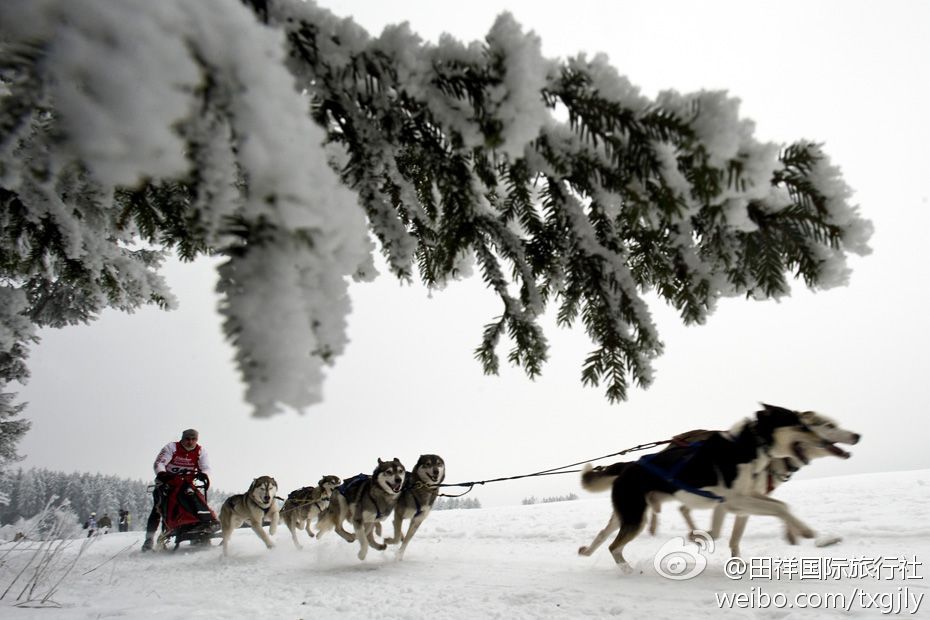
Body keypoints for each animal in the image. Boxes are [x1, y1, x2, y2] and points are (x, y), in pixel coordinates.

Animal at [576, 404, 832, 572]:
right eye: (801, 426)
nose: (826, 441)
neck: (748, 446)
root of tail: (629, 464)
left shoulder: (743, 499)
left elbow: (780, 506)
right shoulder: (735, 501)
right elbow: (781, 508)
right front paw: (806, 531)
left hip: (627, 515)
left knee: (603, 535)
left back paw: (587, 551)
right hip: (635, 518)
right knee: (613, 546)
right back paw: (628, 570)